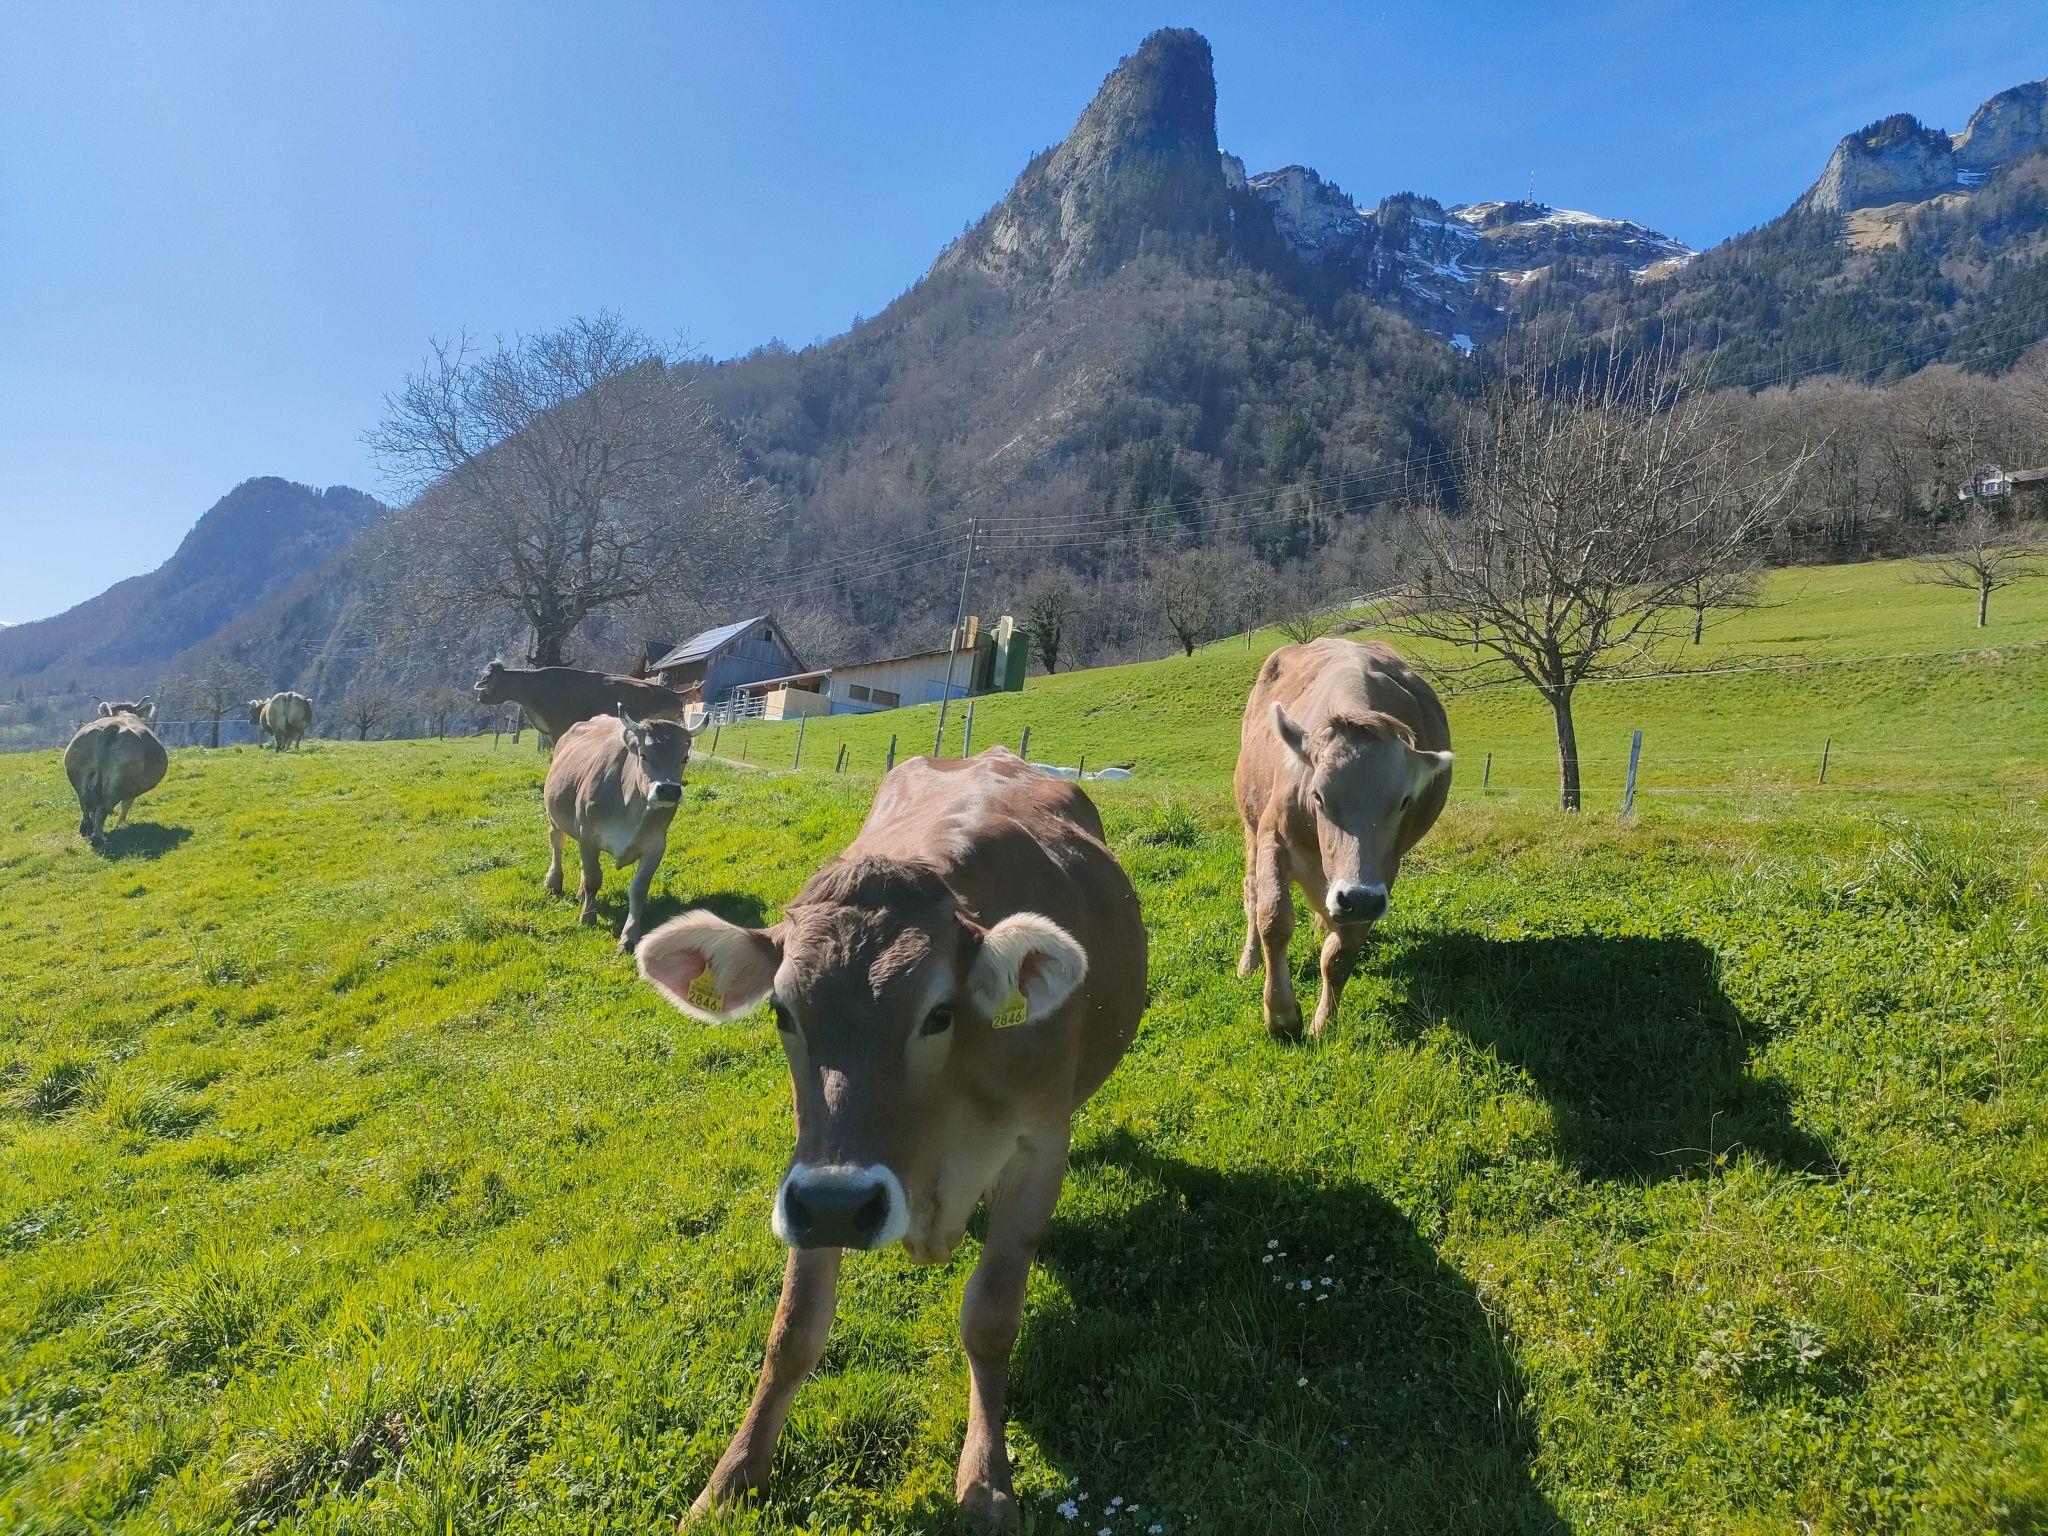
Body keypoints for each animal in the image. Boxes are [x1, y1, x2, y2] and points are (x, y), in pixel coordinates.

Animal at [64, 713, 169, 849]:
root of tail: (111, 726)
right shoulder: (131, 791)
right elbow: (126, 806)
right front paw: (120, 824)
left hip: (80, 776)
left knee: (85, 804)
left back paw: (86, 830)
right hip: (117, 786)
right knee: (102, 810)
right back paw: (98, 838)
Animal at [543, 708, 694, 950]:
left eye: (684, 758)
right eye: (643, 755)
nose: (669, 790)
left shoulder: (655, 847)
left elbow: (638, 890)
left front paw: (629, 936)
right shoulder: (588, 837)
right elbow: (593, 880)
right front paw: (588, 918)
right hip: (555, 815)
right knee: (557, 843)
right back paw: (553, 882)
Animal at [633, 746, 1147, 1529]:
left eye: (938, 1013)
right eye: (782, 1011)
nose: (844, 1208)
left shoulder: (1039, 1150)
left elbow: (990, 1317)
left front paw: (987, 1479)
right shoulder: (815, 1175)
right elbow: (794, 1330)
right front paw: (730, 1480)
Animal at [1234, 638, 1452, 1040]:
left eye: (1405, 800)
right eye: (1318, 795)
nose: (1356, 899)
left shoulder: (1378, 877)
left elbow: (1339, 954)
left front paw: (1322, 1024)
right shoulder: (1273, 836)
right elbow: (1273, 918)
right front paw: (1281, 1015)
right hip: (1251, 824)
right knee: (1253, 892)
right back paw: (1249, 961)